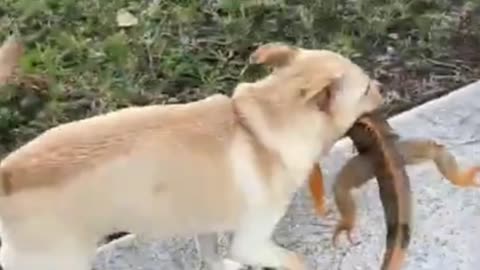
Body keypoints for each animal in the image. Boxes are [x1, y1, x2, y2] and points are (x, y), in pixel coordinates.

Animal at [0, 42, 382, 270]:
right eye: (365, 89)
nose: (381, 86)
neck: (260, 123)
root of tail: (8, 174)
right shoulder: (252, 242)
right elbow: (293, 260)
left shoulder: (204, 222)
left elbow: (211, 254)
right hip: (59, 260)